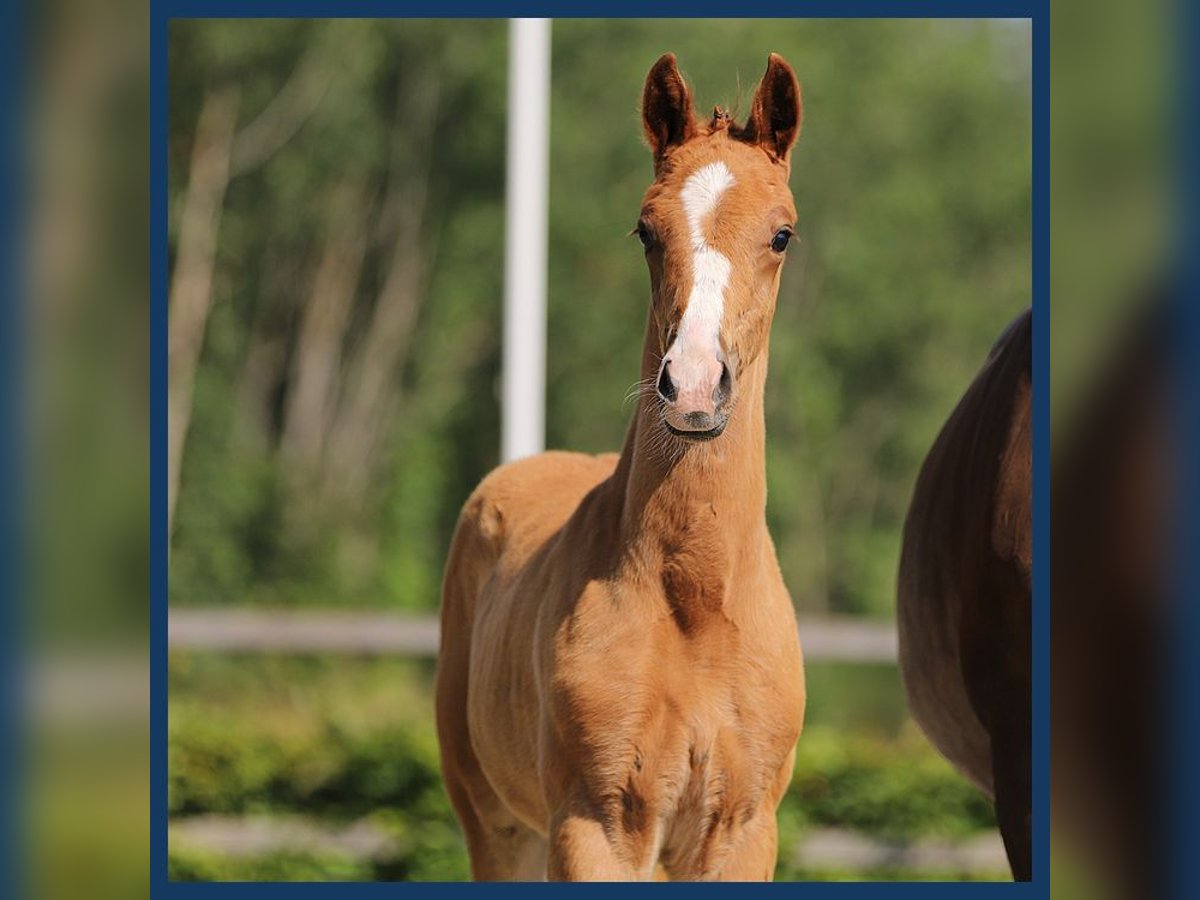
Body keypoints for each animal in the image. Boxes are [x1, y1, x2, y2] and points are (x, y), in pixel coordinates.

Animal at [436, 54, 811, 883]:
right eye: (646, 230)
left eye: (781, 235)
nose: (695, 385)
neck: (695, 602)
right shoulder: (596, 826)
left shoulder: (742, 830)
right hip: (497, 825)